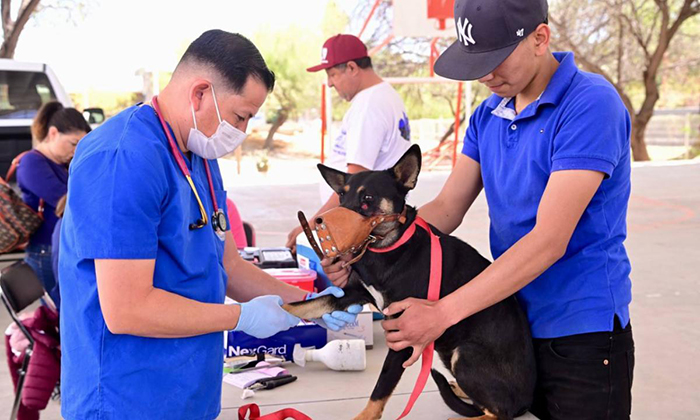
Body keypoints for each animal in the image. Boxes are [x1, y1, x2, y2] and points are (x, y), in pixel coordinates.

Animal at [284, 145, 536, 420]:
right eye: (341, 196)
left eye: (368, 198)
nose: (321, 224)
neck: (388, 249)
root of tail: (526, 401)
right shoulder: (350, 294)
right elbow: (302, 306)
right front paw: (269, 312)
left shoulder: (404, 333)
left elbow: (382, 386)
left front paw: (365, 416)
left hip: (465, 354)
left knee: (499, 412)